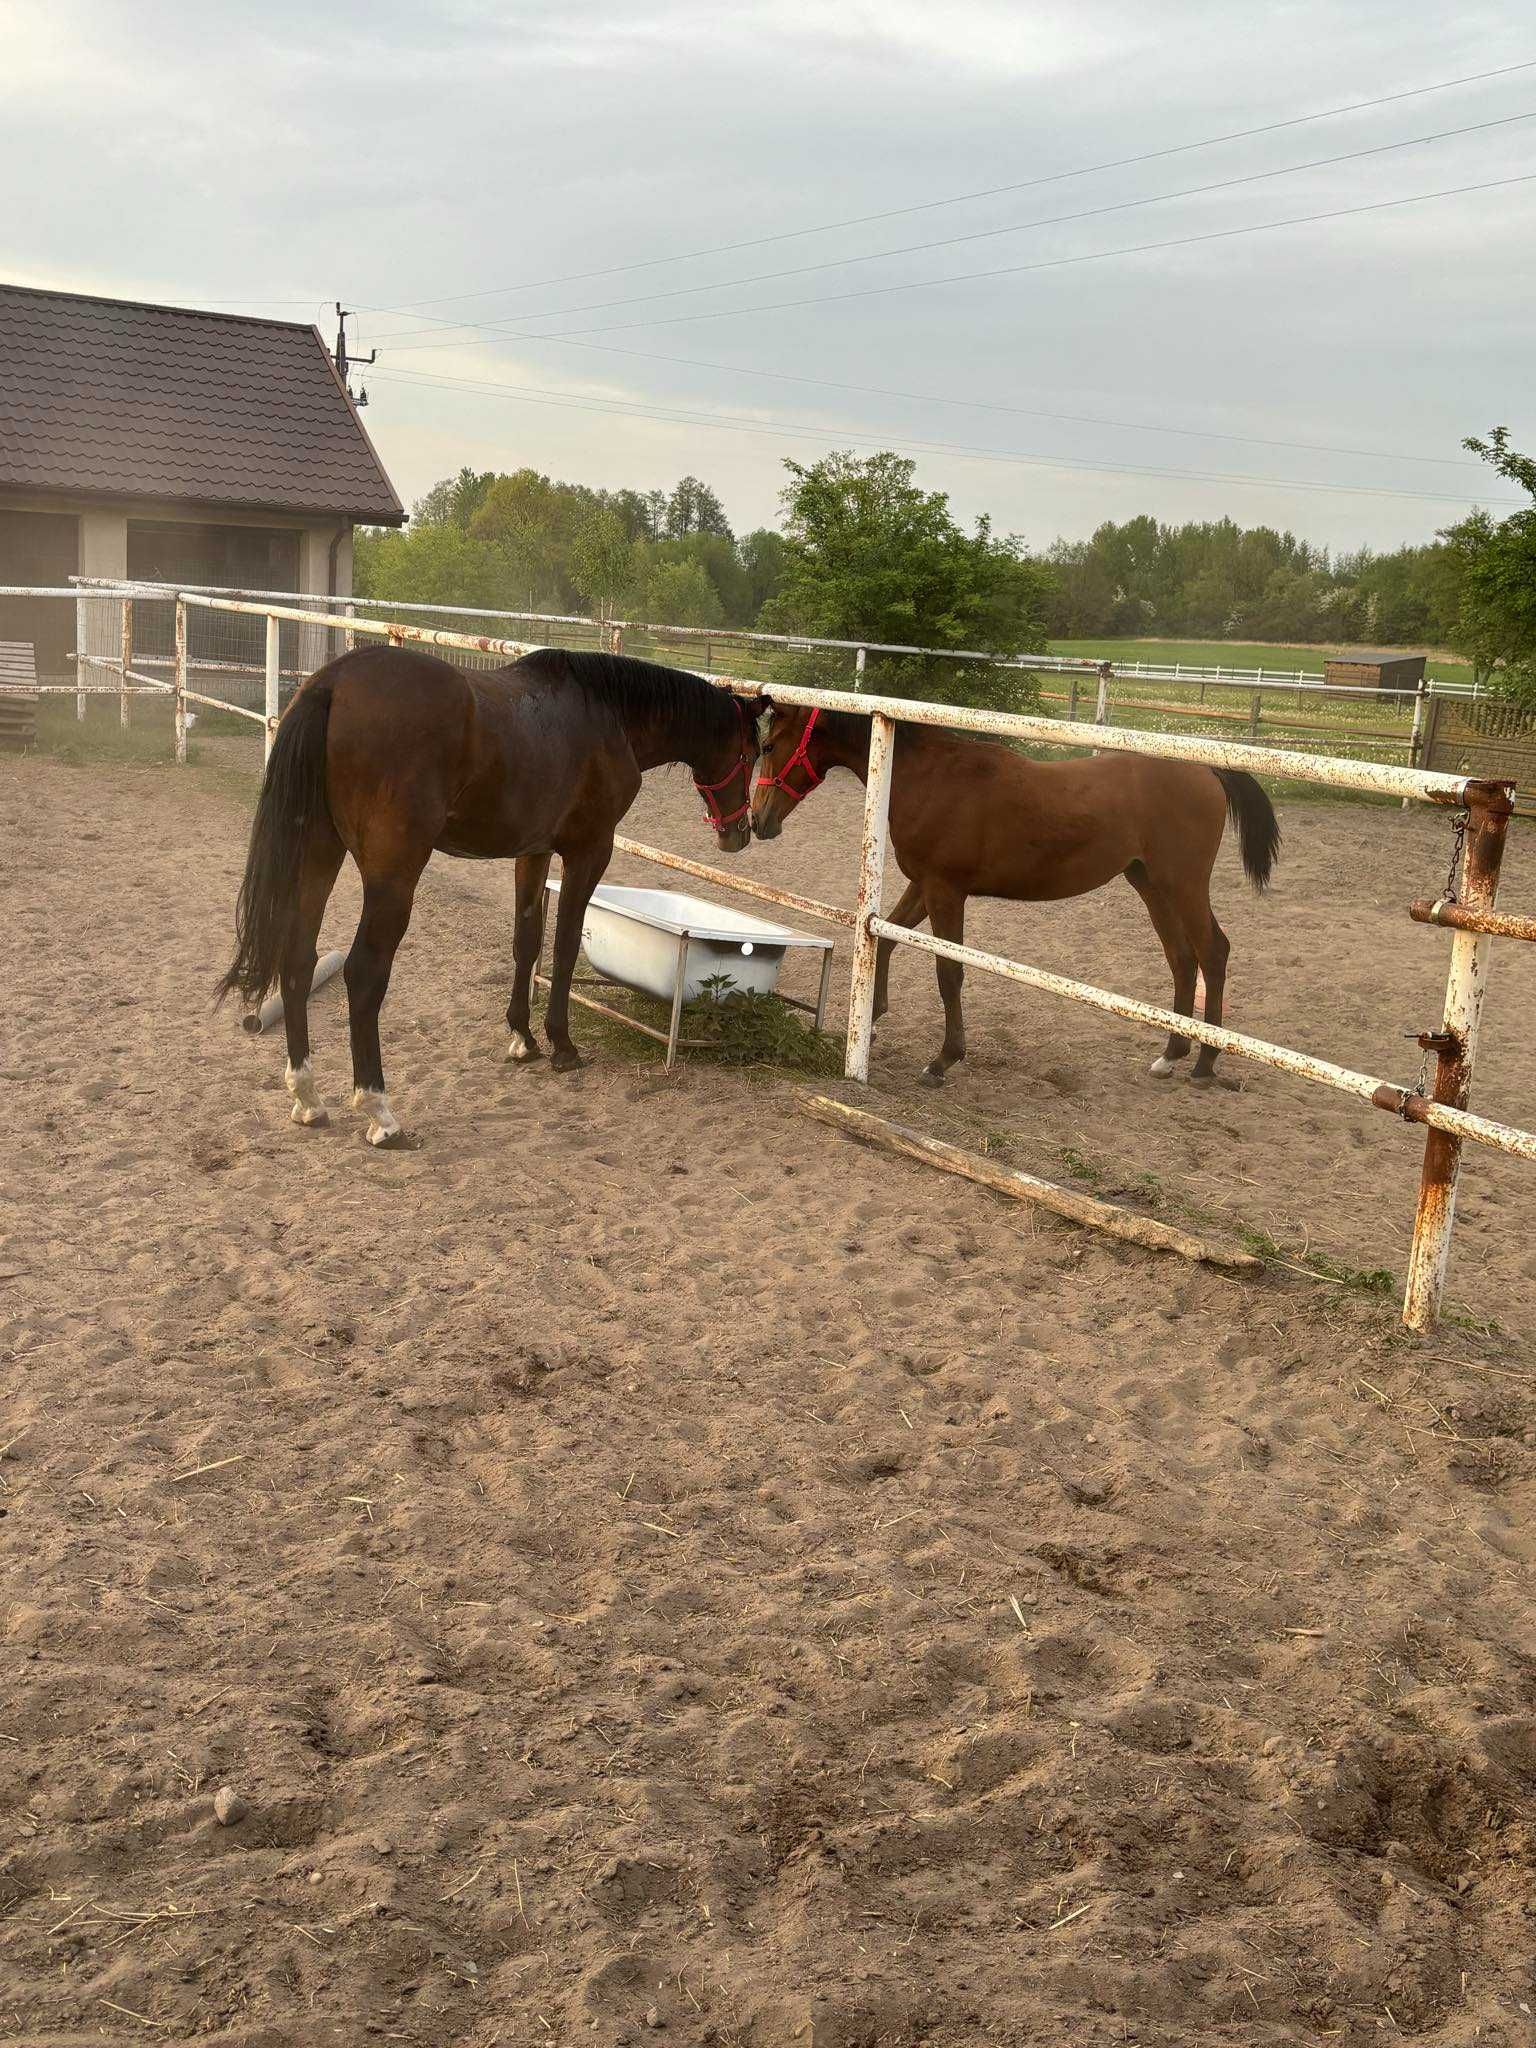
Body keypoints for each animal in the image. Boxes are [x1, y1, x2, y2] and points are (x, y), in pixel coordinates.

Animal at [219, 647, 761, 1146]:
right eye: (752, 754)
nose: (742, 832)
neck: (608, 713)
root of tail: (334, 682)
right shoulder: (589, 851)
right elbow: (565, 947)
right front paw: (562, 1045)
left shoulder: (533, 852)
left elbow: (527, 942)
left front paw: (522, 1037)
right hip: (392, 875)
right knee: (365, 973)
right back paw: (380, 1112)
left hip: (318, 854)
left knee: (298, 960)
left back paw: (307, 1097)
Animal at [753, 704, 1277, 1089]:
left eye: (769, 745)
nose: (759, 820)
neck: (928, 776)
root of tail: (1206, 771)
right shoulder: (924, 885)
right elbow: (886, 939)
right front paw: (873, 1020)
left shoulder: (946, 892)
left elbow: (949, 972)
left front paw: (943, 1060)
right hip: (1149, 884)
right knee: (1182, 958)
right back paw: (1170, 1055)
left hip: (1182, 883)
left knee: (1213, 951)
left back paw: (1205, 1064)